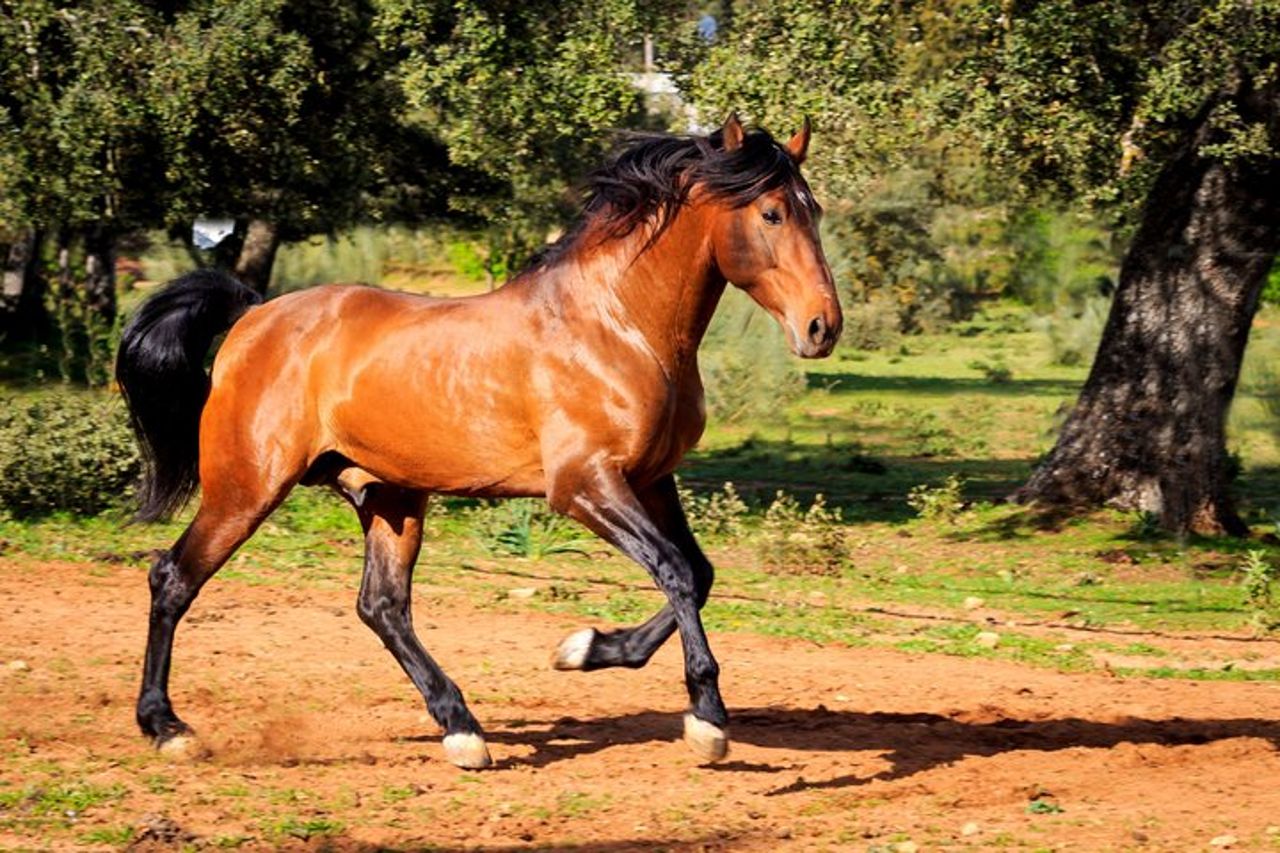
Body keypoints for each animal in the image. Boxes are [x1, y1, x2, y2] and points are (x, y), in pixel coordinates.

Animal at [116, 114, 842, 770]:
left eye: (814, 210)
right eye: (772, 213)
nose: (822, 327)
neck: (617, 326)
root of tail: (253, 315)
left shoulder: (651, 479)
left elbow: (697, 572)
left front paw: (584, 649)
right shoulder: (584, 485)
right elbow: (675, 572)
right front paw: (706, 720)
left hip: (389, 496)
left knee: (381, 606)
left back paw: (462, 730)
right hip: (248, 486)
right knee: (173, 577)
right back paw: (166, 728)